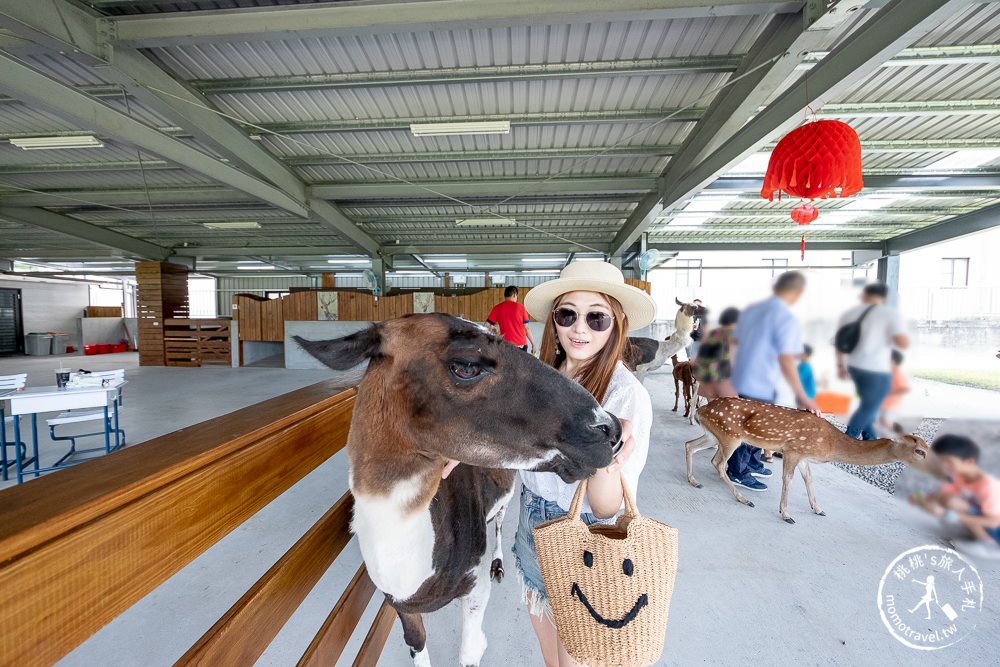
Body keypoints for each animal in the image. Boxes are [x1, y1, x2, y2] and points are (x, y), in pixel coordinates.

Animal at [684, 400, 948, 524]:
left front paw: (818, 509)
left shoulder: (804, 456)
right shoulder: (793, 450)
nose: (944, 472)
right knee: (717, 462)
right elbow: (788, 480)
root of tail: (701, 410)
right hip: (730, 436)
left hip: (714, 434)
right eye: (920, 451)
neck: (830, 443)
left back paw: (694, 481)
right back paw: (743, 499)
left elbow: (809, 479)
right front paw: (786, 514)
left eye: (927, 447)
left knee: (690, 445)